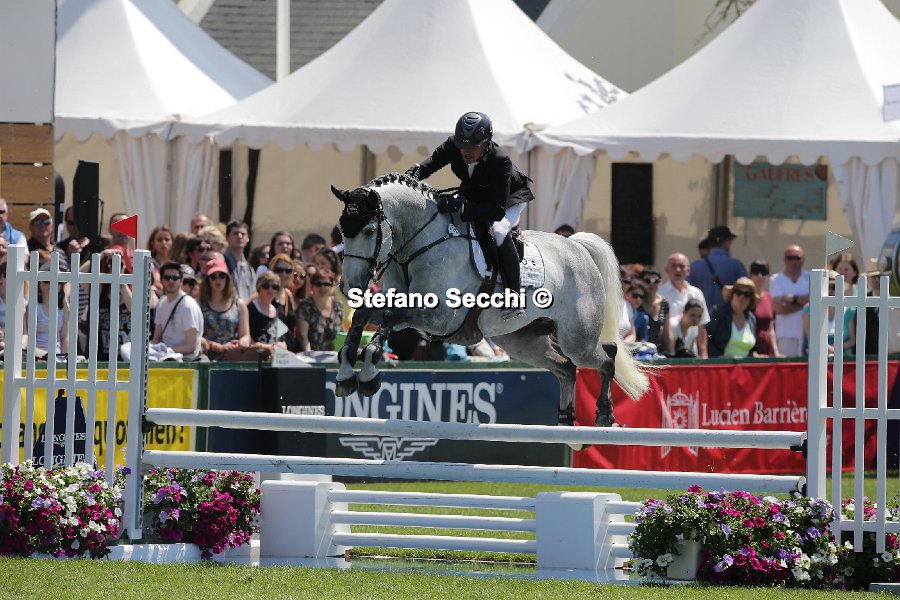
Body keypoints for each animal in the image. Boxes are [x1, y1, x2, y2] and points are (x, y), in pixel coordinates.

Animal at [330, 173, 649, 436]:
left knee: (606, 355)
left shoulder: (439, 317)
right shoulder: (402, 301)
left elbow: (389, 320)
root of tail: (577, 247)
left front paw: (369, 373)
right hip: (522, 341)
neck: (419, 243)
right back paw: (566, 423)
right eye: (343, 231)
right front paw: (346, 373)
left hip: (577, 339)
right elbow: (365, 315)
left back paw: (604, 416)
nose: (349, 286)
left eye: (369, 231)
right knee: (566, 368)